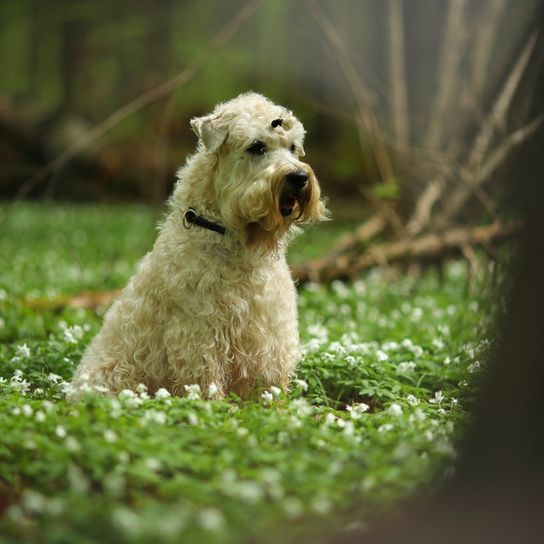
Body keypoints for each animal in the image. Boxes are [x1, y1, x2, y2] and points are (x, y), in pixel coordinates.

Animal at [70, 92, 330, 400]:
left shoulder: (271, 332)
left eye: (292, 147)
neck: (235, 241)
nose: (299, 177)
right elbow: (206, 382)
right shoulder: (199, 334)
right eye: (256, 146)